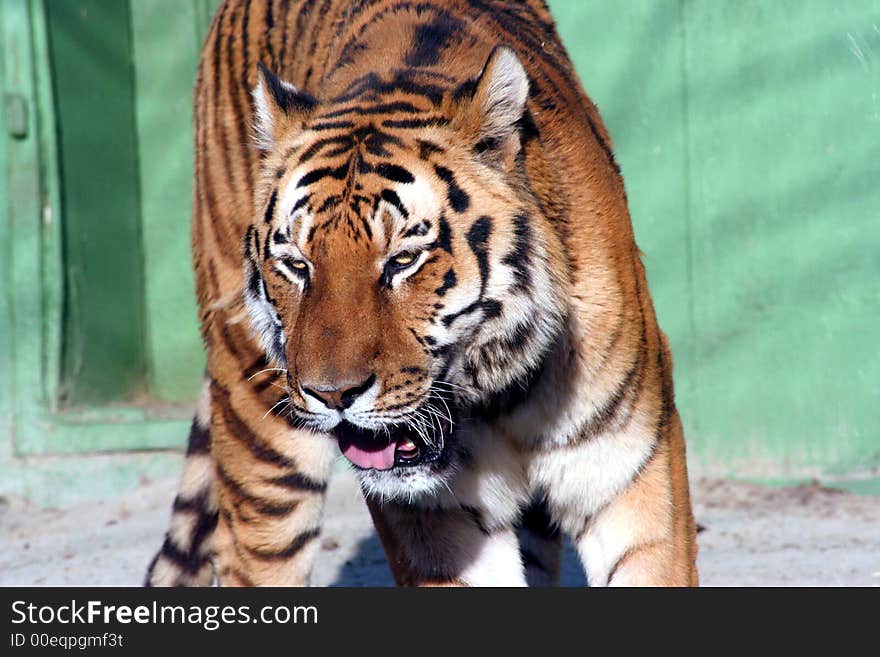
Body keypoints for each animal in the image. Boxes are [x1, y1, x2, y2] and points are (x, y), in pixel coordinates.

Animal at [144, 0, 696, 584]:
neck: (497, 401)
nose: (332, 395)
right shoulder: (439, 521)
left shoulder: (629, 474)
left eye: (402, 261)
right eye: (297, 265)